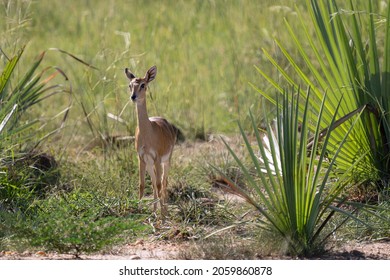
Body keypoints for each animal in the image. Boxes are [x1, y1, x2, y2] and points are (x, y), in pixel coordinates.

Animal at [125, 64, 177, 218]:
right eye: (130, 85)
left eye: (143, 84)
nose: (133, 97)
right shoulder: (141, 159)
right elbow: (142, 185)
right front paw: (139, 210)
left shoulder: (157, 158)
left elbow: (160, 185)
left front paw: (162, 215)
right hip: (150, 164)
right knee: (154, 183)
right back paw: (154, 210)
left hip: (166, 161)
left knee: (164, 182)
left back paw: (164, 211)